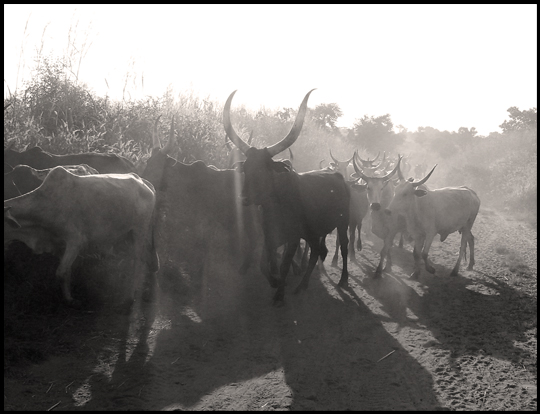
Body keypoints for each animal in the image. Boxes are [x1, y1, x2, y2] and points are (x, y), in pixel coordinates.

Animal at [3, 167, 158, 308]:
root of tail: (142, 181)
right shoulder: (60, 245)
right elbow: (66, 272)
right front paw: (69, 298)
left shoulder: (75, 241)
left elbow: (60, 272)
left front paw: (70, 300)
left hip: (139, 230)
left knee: (138, 261)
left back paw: (129, 298)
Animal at [223, 90, 350, 304]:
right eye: (246, 168)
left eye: (265, 169)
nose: (244, 199)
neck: (277, 204)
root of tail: (338, 176)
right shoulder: (270, 236)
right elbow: (264, 264)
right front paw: (274, 282)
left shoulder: (292, 238)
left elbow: (283, 265)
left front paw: (279, 295)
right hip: (313, 232)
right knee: (317, 252)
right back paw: (302, 286)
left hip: (343, 223)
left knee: (344, 248)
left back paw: (342, 280)